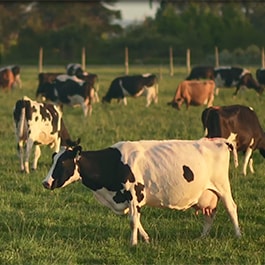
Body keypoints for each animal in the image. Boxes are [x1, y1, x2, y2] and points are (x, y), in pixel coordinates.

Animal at [42, 137, 241, 244]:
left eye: (63, 163)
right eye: (53, 159)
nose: (46, 182)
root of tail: (220, 141)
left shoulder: (133, 193)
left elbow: (133, 221)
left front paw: (133, 243)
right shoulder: (131, 199)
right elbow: (137, 220)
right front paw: (145, 239)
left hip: (222, 186)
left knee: (231, 208)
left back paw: (238, 235)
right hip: (207, 194)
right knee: (210, 215)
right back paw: (201, 238)